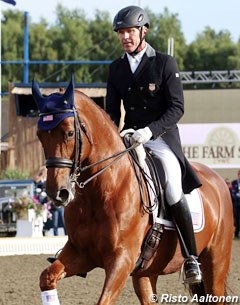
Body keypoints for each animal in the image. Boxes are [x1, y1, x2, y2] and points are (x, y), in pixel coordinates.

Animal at [31, 77, 232, 302]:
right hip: (146, 273)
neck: (100, 192)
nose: (57, 192)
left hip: (215, 262)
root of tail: (217, 180)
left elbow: (104, 300)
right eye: (40, 135)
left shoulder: (122, 259)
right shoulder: (79, 253)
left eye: (69, 132)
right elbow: (47, 277)